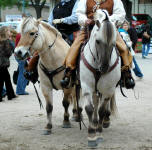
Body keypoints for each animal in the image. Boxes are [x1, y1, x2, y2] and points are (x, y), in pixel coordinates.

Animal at [79, 9, 121, 147]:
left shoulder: (108, 89)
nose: (104, 68)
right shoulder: (86, 86)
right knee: (95, 102)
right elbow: (89, 108)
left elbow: (102, 110)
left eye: (113, 43)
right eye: (98, 41)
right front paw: (91, 135)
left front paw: (99, 133)